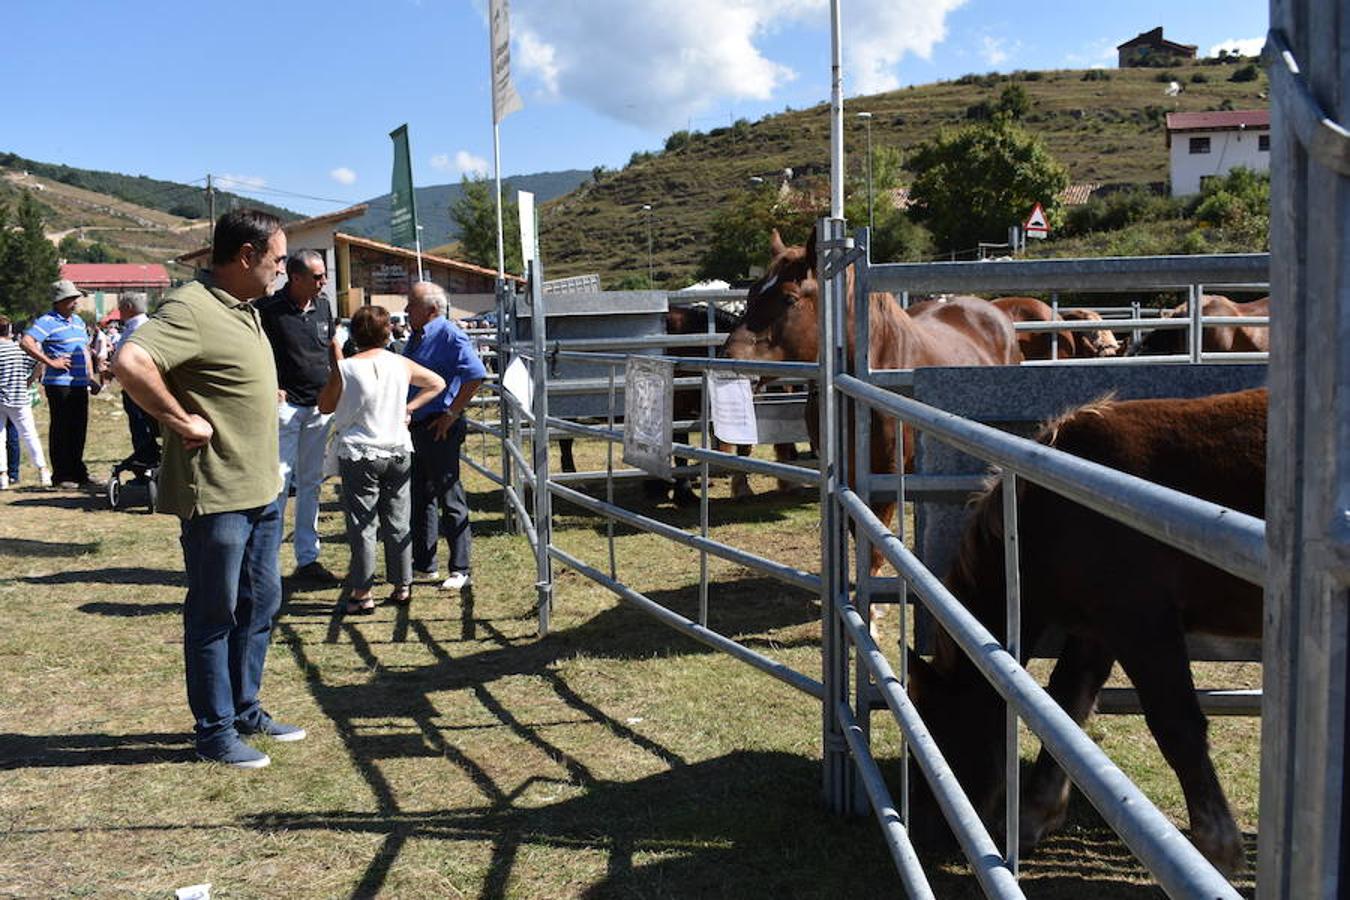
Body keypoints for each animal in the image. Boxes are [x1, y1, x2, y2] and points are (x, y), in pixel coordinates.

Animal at [907, 388, 1263, 879]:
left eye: (940, 726)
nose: (927, 832)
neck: (1061, 508)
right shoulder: (1098, 630)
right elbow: (1066, 707)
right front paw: (1032, 816)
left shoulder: (1141, 622)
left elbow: (1176, 725)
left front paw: (1218, 851)